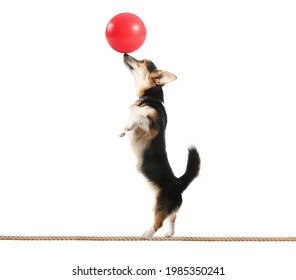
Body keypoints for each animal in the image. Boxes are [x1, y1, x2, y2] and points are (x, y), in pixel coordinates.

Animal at [119, 53, 200, 240]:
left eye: (142, 62)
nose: (125, 54)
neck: (150, 98)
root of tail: (178, 184)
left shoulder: (152, 127)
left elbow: (139, 118)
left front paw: (126, 127)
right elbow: (134, 117)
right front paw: (123, 129)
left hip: (159, 205)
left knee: (158, 222)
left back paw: (147, 234)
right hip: (168, 208)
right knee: (173, 217)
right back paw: (169, 233)